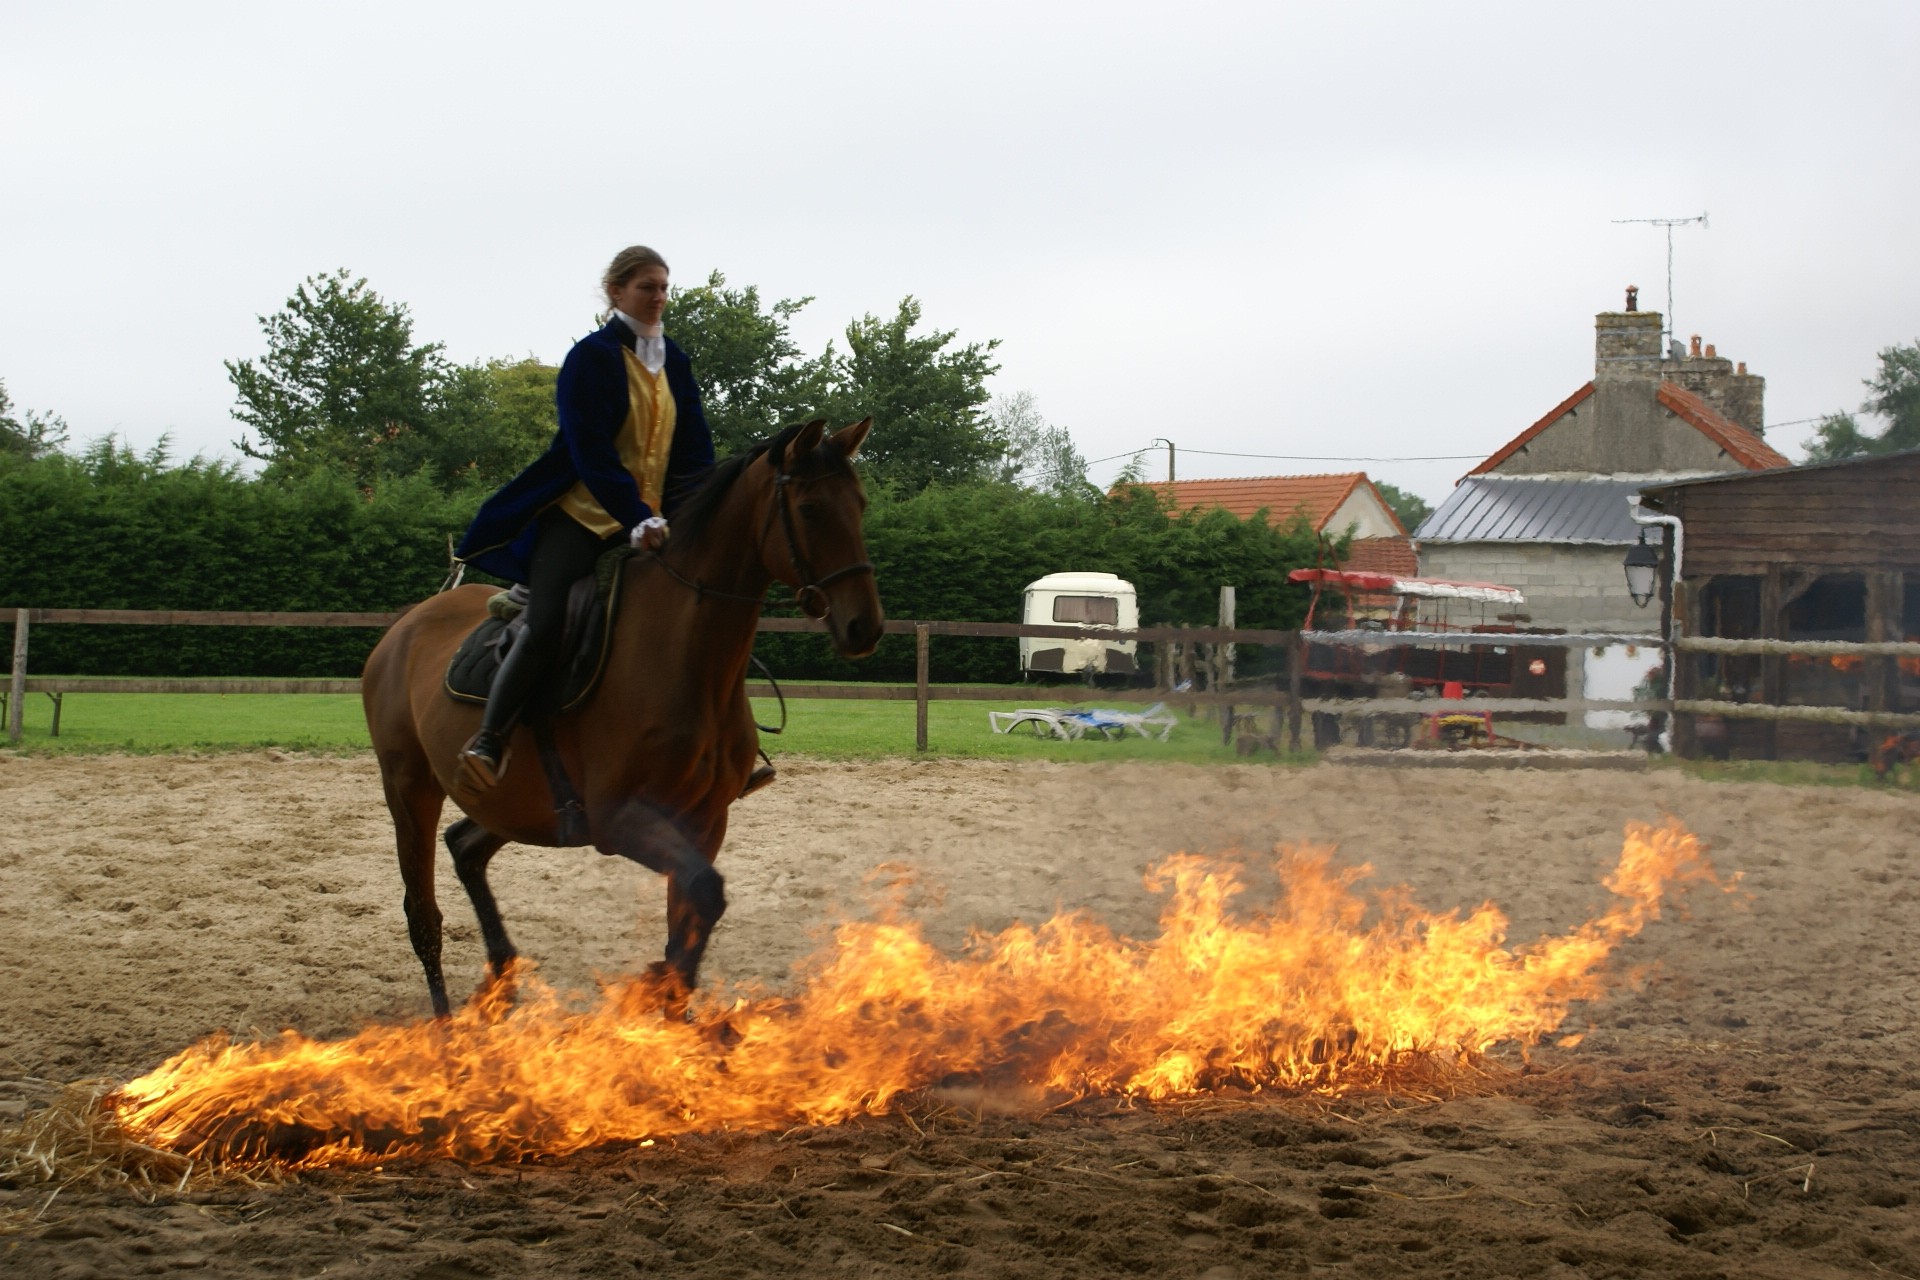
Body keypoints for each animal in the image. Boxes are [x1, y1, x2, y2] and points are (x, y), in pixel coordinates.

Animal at [360, 420, 883, 1020]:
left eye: (860, 505)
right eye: (812, 508)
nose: (864, 627)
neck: (684, 655)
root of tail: (403, 629)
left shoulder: (704, 821)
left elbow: (690, 916)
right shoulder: (619, 820)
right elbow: (703, 898)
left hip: (516, 806)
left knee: (465, 848)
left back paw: (501, 978)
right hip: (410, 788)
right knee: (423, 915)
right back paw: (447, 1028)